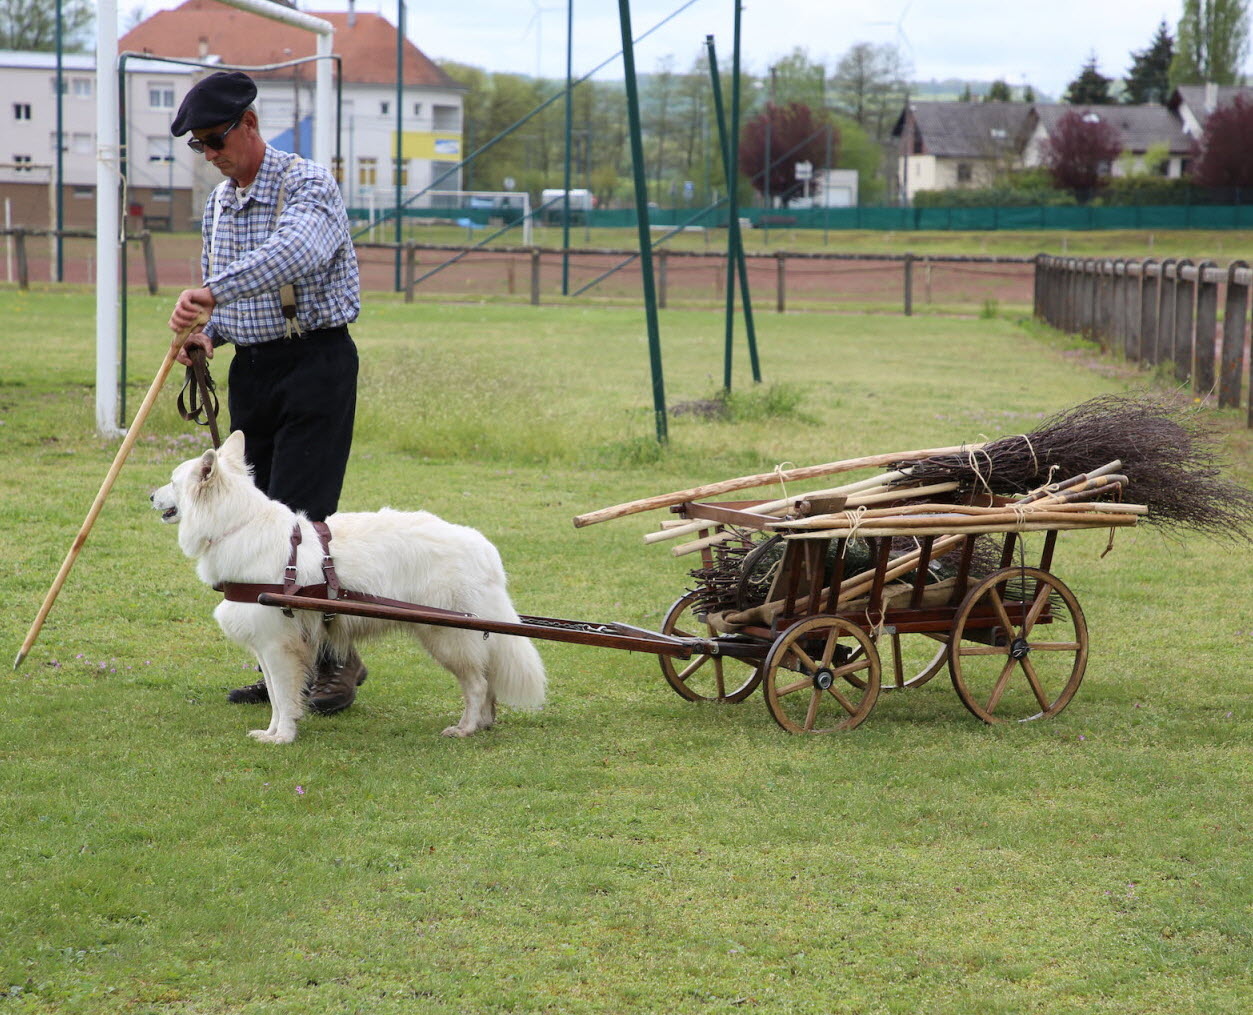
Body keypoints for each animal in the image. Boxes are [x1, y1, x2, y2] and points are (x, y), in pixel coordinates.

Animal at [150, 428, 543, 741]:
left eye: (172, 481)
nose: (150, 496)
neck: (238, 525)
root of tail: (484, 548)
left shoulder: (279, 646)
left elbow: (284, 697)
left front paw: (283, 737)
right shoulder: (266, 644)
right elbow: (276, 697)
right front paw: (272, 732)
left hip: (447, 637)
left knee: (477, 683)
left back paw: (466, 727)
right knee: (487, 680)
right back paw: (484, 723)